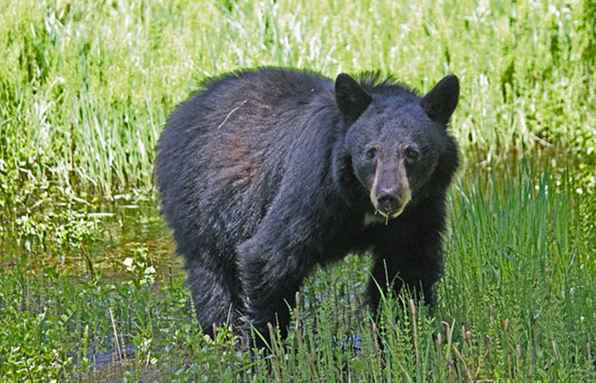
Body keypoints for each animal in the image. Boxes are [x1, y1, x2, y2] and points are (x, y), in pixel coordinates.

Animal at [155, 67, 460, 346]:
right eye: (370, 152)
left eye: (412, 153)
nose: (388, 196)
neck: (359, 201)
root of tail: (182, 109)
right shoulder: (313, 186)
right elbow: (268, 256)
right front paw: (265, 349)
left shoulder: (420, 211)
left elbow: (406, 274)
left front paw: (408, 337)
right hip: (198, 206)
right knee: (212, 281)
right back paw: (222, 336)